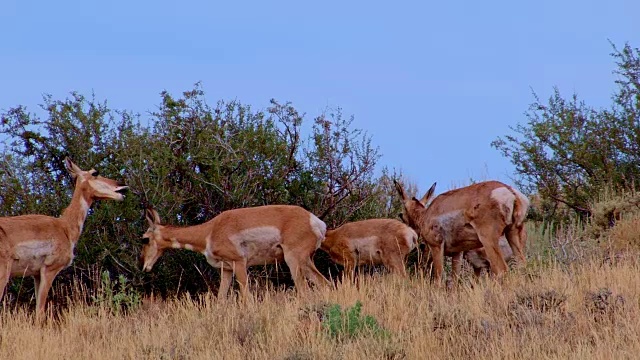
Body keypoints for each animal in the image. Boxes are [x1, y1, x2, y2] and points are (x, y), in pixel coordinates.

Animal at [0, 159, 129, 316]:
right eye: (95, 173)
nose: (122, 186)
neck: (64, 227)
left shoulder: (36, 275)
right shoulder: (49, 270)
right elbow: (40, 312)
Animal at [141, 205, 330, 298]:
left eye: (144, 239)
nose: (144, 267)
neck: (210, 230)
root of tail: (315, 221)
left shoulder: (239, 263)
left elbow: (246, 297)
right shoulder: (226, 270)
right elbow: (220, 299)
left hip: (294, 261)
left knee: (305, 290)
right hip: (306, 262)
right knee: (325, 284)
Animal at [396, 180, 528, 284]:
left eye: (401, 214)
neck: (426, 215)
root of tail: (510, 191)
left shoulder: (436, 247)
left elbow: (438, 279)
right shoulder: (457, 253)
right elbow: (454, 280)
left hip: (489, 241)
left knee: (501, 270)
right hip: (513, 234)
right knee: (522, 265)